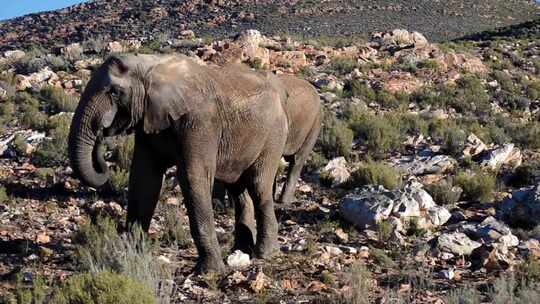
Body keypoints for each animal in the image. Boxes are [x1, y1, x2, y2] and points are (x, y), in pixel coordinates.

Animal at [69, 53, 294, 274]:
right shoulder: (149, 123)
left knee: (259, 187)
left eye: (115, 92)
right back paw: (240, 252)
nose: (101, 133)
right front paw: (132, 259)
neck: (150, 64)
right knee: (239, 192)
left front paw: (209, 272)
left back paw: (266, 253)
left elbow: (192, 178)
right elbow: (144, 179)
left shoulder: (200, 123)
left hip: (273, 136)